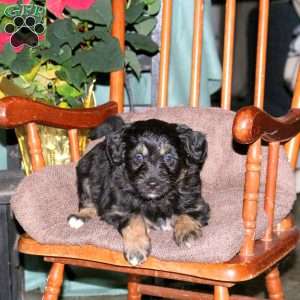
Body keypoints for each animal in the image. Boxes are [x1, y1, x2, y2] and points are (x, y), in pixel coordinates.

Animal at [68, 116, 210, 266]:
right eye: (138, 157)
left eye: (169, 158)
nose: (152, 183)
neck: (156, 200)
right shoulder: (116, 208)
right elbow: (134, 219)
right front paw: (136, 249)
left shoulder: (196, 202)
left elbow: (186, 213)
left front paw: (187, 232)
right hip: (85, 174)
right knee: (86, 200)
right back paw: (79, 217)